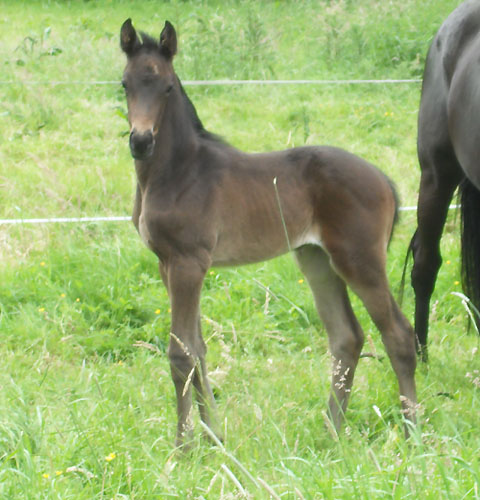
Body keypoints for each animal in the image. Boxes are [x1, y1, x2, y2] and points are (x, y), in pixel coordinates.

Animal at [120, 18, 416, 446]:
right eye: (124, 84)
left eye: (167, 87)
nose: (141, 141)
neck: (179, 170)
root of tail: (384, 181)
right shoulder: (167, 264)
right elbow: (198, 348)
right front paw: (214, 437)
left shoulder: (188, 262)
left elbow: (180, 353)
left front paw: (183, 447)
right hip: (316, 259)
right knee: (347, 337)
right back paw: (331, 432)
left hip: (359, 259)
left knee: (398, 334)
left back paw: (413, 434)